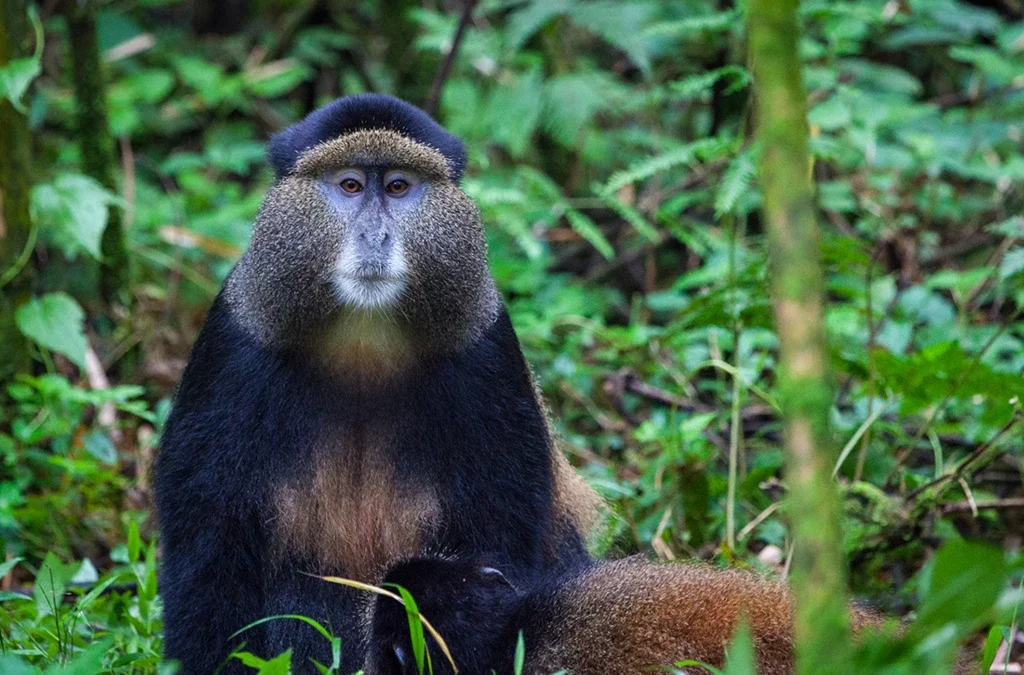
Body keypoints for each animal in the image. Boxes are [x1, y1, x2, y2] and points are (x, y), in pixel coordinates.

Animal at [154, 94, 602, 674]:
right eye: (349, 185)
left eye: (397, 187)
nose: (375, 236)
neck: (363, 337)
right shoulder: (231, 346)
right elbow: (208, 553)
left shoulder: (488, 350)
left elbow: (502, 538)